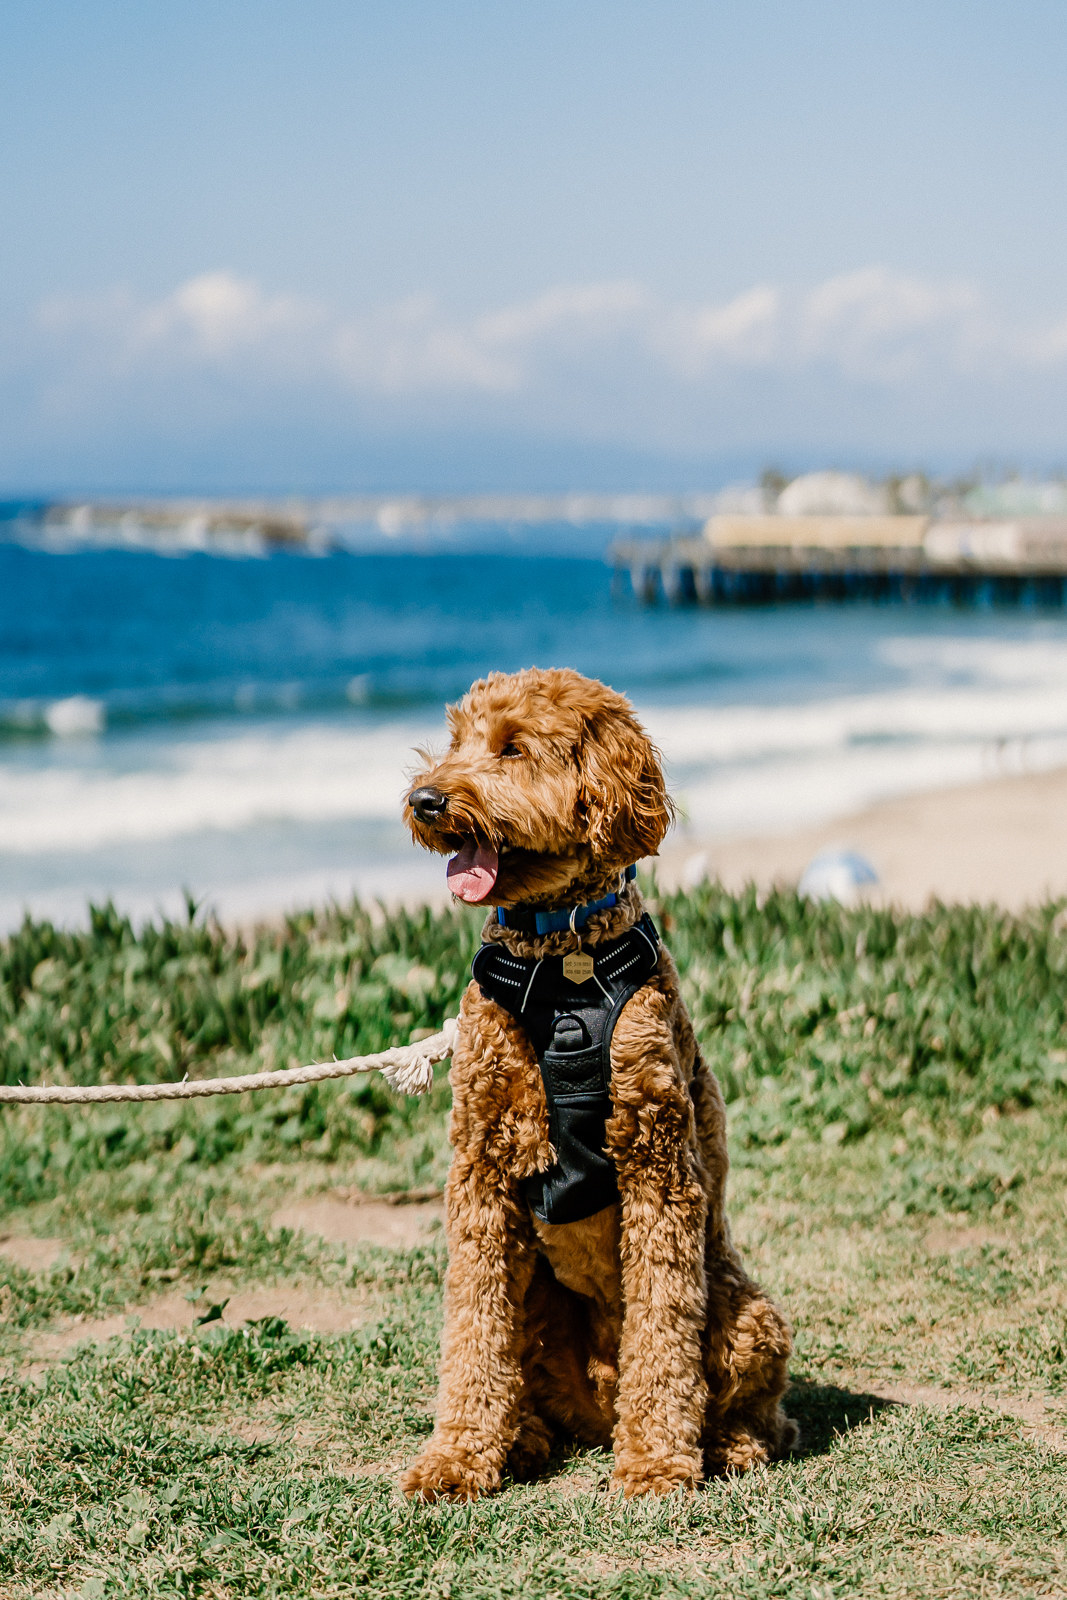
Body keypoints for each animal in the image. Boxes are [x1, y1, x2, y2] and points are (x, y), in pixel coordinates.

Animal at [399, 665, 793, 1497]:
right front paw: (454, 1458)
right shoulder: (480, 1172)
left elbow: (663, 1334)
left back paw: (726, 1444)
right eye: (455, 740)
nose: (426, 800)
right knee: (526, 1380)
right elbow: (472, 1330)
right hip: (541, 1308)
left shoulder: (659, 1169)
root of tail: (598, 1410)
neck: (560, 961)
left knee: (758, 1407)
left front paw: (655, 1464)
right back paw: (521, 1440)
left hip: (746, 1312)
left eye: (511, 748)